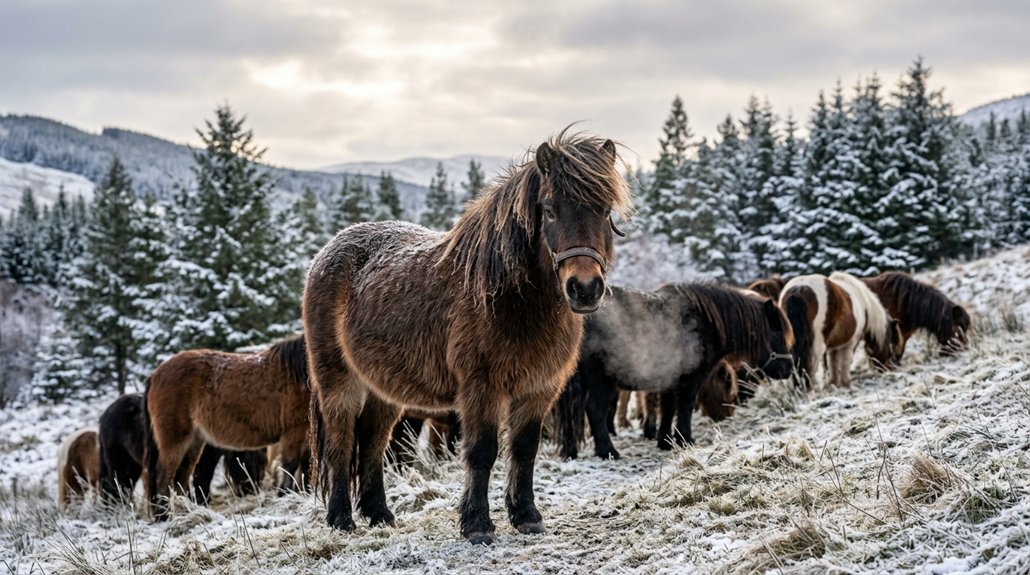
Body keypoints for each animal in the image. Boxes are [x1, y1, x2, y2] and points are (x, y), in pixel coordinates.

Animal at [144, 334, 310, 519]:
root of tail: (155, 375)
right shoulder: (295, 430)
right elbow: (291, 465)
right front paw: (284, 496)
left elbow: (305, 466)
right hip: (175, 439)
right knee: (164, 476)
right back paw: (163, 516)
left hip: (194, 440)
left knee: (182, 476)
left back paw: (187, 512)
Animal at [304, 129, 631, 545]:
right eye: (550, 210)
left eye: (605, 211)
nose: (585, 288)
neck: (510, 299)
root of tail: (326, 253)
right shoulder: (481, 388)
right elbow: (482, 451)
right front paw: (477, 525)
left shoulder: (538, 388)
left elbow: (524, 450)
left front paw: (527, 516)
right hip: (338, 383)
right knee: (341, 445)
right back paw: (341, 520)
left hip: (384, 390)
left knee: (373, 443)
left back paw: (380, 515)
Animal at [554, 283, 795, 460]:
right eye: (777, 332)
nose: (788, 369)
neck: (705, 321)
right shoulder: (692, 379)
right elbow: (685, 406)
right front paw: (685, 439)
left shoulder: (670, 377)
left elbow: (668, 407)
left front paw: (665, 441)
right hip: (600, 380)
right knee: (595, 410)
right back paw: (608, 451)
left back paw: (572, 452)